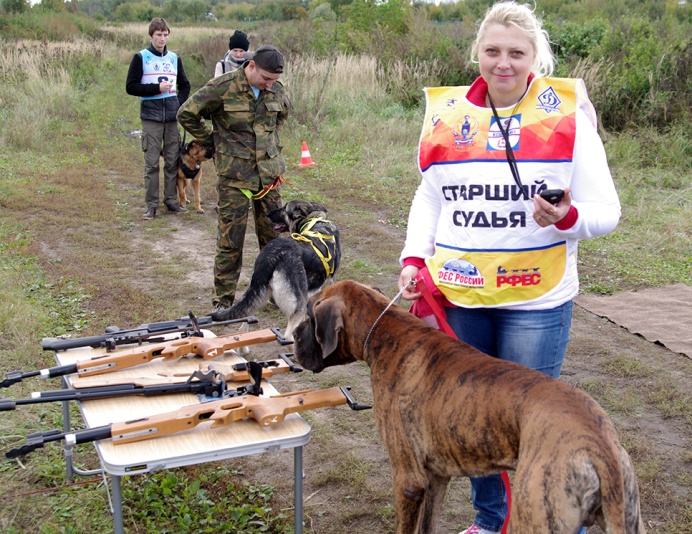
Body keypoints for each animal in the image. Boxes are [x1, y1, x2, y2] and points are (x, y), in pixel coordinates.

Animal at [211, 199, 340, 342]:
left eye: (283, 209)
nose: (267, 213)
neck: (313, 222)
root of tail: (271, 256)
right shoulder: (327, 284)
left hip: (256, 295)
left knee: (243, 325)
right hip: (297, 305)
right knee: (289, 335)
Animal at [294, 282, 648, 532]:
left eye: (310, 315)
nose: (294, 334)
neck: (385, 331)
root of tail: (599, 443)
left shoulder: (408, 482)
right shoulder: (435, 479)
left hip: (535, 515)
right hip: (627, 515)